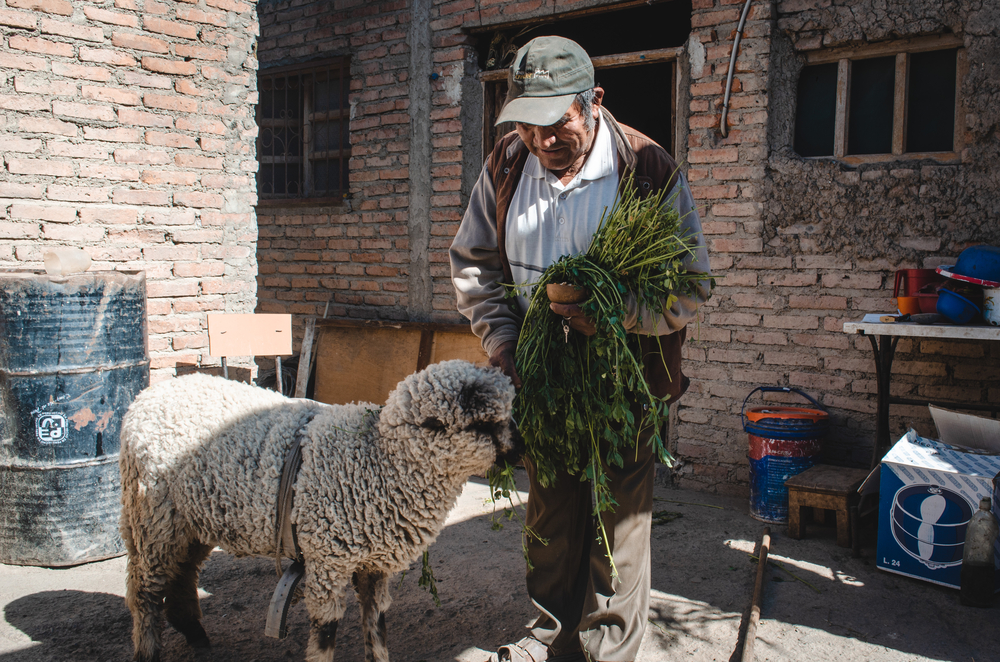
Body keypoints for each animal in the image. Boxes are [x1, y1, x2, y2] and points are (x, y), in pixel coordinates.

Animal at [119, 359, 517, 662]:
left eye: (505, 416)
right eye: (484, 425)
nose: (519, 452)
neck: (378, 460)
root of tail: (146, 396)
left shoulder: (373, 563)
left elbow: (376, 626)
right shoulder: (328, 559)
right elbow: (326, 633)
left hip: (192, 519)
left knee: (182, 574)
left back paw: (196, 634)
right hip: (152, 517)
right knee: (145, 590)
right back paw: (148, 650)